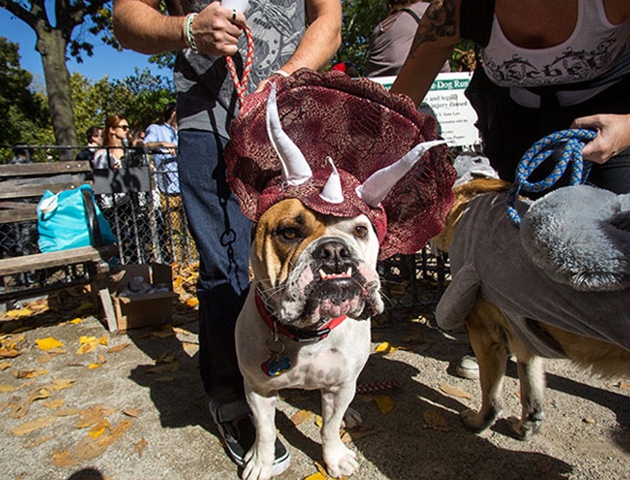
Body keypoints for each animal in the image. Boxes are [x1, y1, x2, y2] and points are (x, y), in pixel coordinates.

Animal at [436, 179, 630, 438]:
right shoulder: (523, 340)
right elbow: (532, 395)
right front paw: (525, 427)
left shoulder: (487, 338)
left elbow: (491, 396)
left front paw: (479, 422)